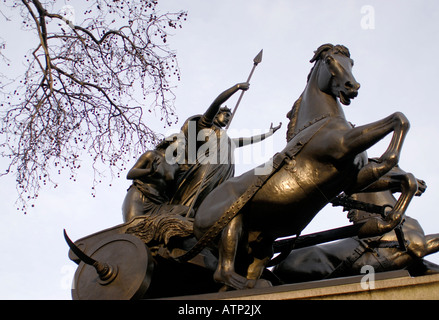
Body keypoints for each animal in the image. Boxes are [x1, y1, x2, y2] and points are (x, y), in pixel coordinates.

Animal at [194, 43, 410, 292]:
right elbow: (398, 120)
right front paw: (386, 160)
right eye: (329, 60)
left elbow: (403, 177)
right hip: (231, 224)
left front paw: (392, 216)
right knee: (222, 272)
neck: (320, 121)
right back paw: (255, 285)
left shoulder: (353, 178)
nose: (352, 87)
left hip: (262, 243)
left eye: (351, 62)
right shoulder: (343, 145)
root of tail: (198, 211)